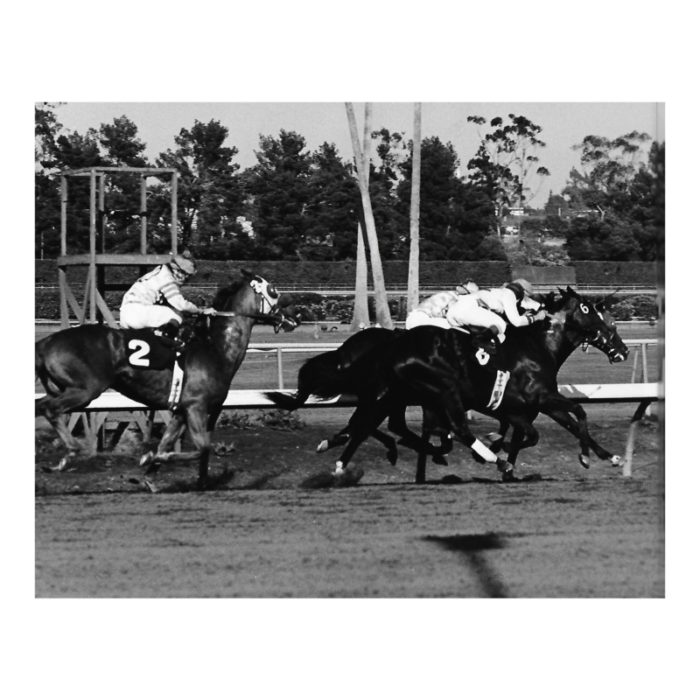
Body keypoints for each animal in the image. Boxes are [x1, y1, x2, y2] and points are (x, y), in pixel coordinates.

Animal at [34, 270, 300, 490]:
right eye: (273, 291)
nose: (295, 313)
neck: (215, 348)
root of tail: (46, 342)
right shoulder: (196, 406)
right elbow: (201, 449)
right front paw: (148, 457)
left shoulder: (181, 411)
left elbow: (167, 445)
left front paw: (151, 476)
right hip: (86, 390)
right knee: (51, 409)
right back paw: (68, 454)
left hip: (65, 389)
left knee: (41, 405)